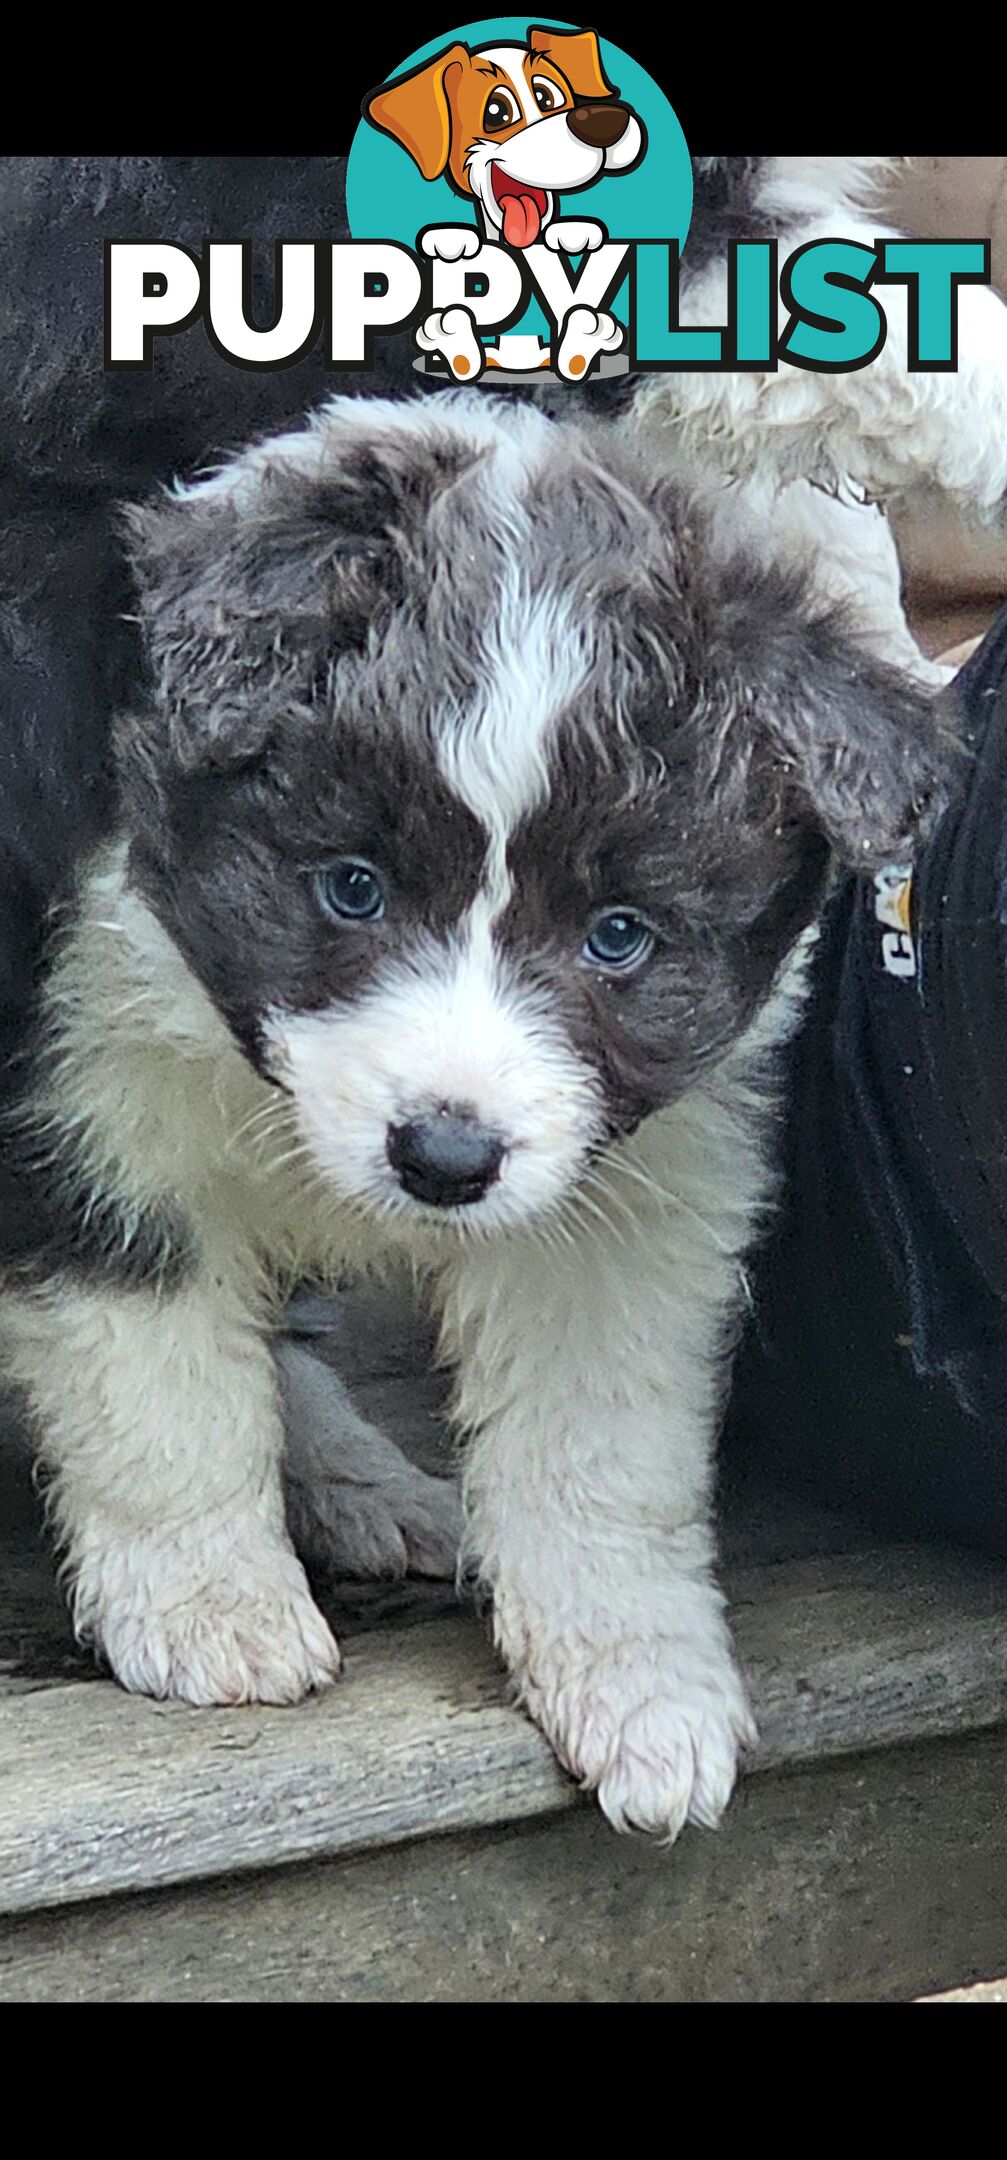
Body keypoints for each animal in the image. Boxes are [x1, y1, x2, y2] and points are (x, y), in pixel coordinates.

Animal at [0, 393, 950, 1840]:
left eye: (618, 936)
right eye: (351, 887)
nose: (443, 1159)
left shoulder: (630, 1193)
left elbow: (596, 1442)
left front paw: (640, 1686)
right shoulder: (92, 1096)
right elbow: (155, 1383)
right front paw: (209, 1607)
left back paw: (359, 1488)